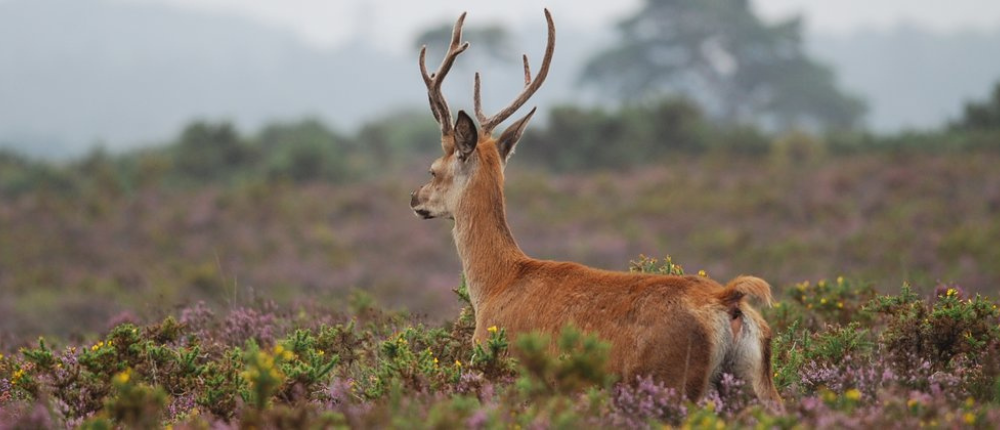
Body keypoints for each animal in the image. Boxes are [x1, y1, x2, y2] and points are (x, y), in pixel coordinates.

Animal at [406, 9, 780, 410]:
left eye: (432, 169)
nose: (415, 198)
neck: (497, 285)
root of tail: (729, 301)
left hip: (672, 379)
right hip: (757, 384)